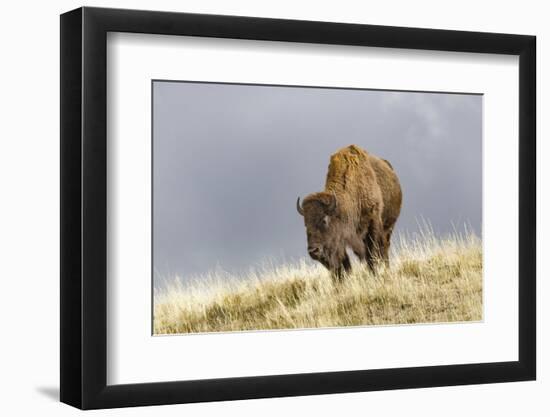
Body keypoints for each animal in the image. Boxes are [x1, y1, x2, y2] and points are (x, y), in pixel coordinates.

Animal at [298, 144, 406, 280]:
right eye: (305, 224)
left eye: (324, 220)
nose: (313, 251)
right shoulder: (341, 237)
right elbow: (345, 263)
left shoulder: (373, 222)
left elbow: (371, 254)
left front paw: (374, 274)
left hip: (388, 227)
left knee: (384, 248)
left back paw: (386, 268)